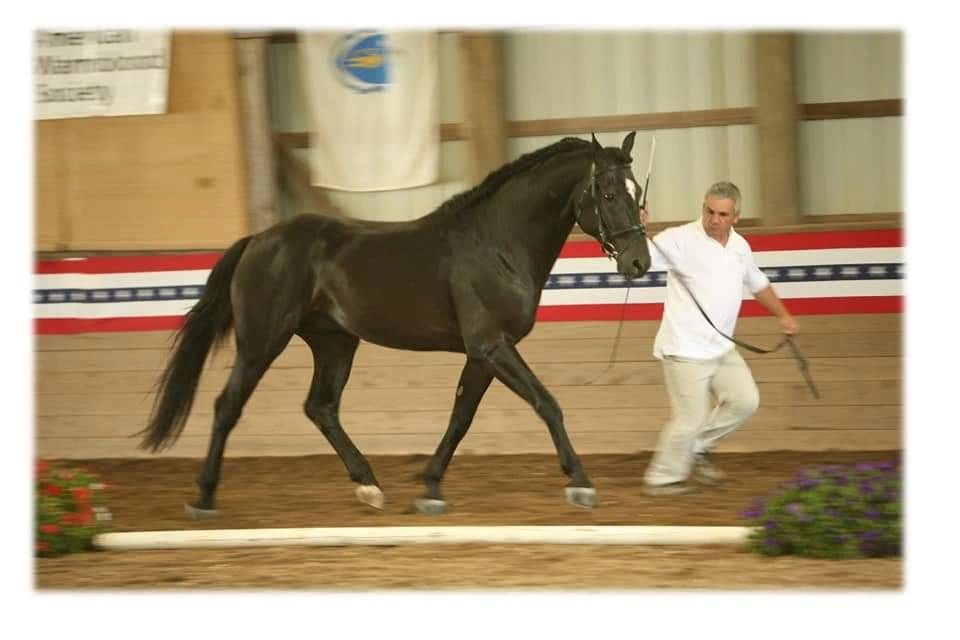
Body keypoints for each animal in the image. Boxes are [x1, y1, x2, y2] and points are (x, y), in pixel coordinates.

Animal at [139, 132, 652, 516]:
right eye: (608, 193)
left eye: (638, 194)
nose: (638, 262)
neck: (496, 245)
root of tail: (259, 240)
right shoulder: (492, 346)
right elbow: (547, 404)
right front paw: (581, 483)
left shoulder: (483, 353)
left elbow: (461, 417)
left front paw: (430, 488)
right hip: (261, 342)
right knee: (228, 405)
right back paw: (204, 497)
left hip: (335, 343)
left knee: (320, 407)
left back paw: (369, 485)